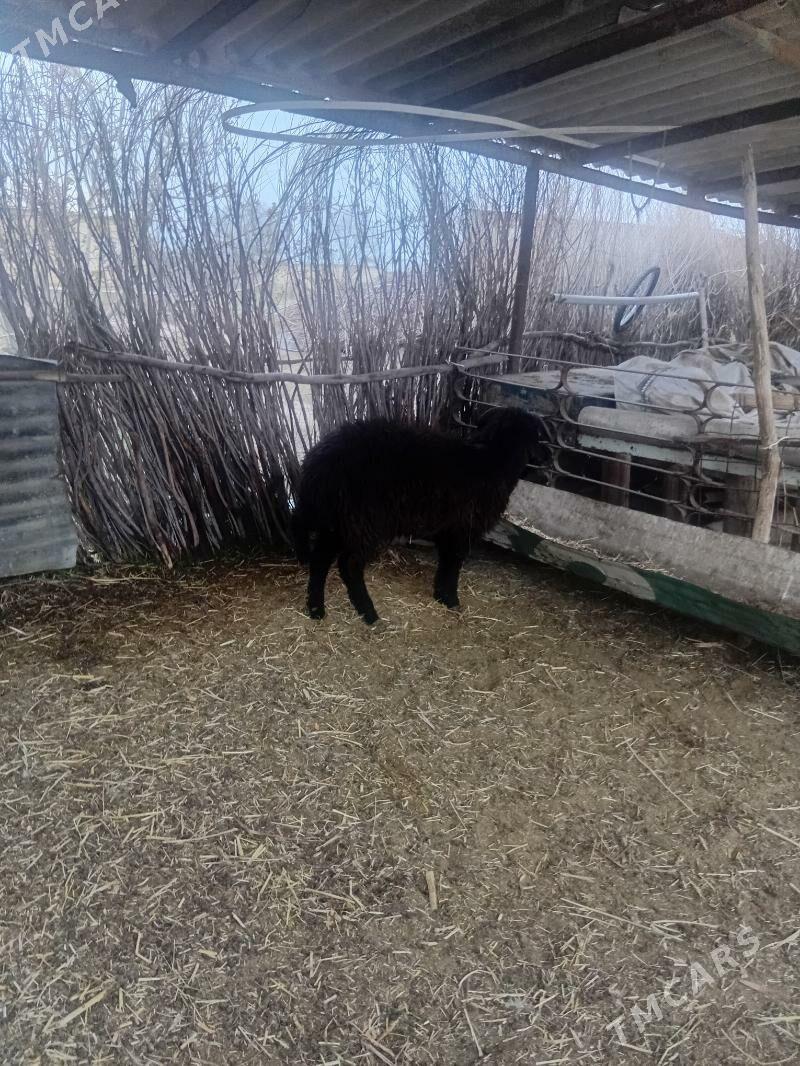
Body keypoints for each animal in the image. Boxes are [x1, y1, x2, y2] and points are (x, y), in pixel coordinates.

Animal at [292, 408, 544, 624]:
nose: (543, 463)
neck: (492, 460)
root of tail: (317, 466)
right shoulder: (463, 528)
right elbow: (454, 564)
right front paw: (451, 600)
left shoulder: (449, 529)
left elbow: (446, 562)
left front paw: (440, 595)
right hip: (363, 520)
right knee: (349, 564)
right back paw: (369, 614)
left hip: (336, 521)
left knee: (320, 560)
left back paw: (316, 609)